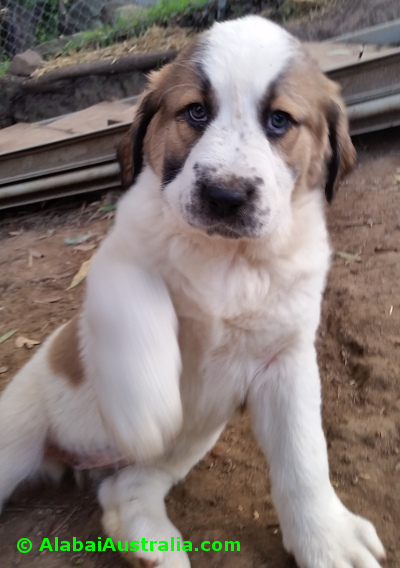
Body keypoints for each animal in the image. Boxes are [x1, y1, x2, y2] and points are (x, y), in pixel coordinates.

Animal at [1, 14, 386, 568]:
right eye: (196, 112)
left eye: (279, 121)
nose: (225, 195)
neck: (229, 260)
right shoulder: (115, 259)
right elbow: (139, 300)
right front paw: (143, 410)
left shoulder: (287, 358)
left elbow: (305, 454)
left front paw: (327, 537)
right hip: (18, 429)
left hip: (190, 442)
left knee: (123, 488)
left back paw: (148, 540)